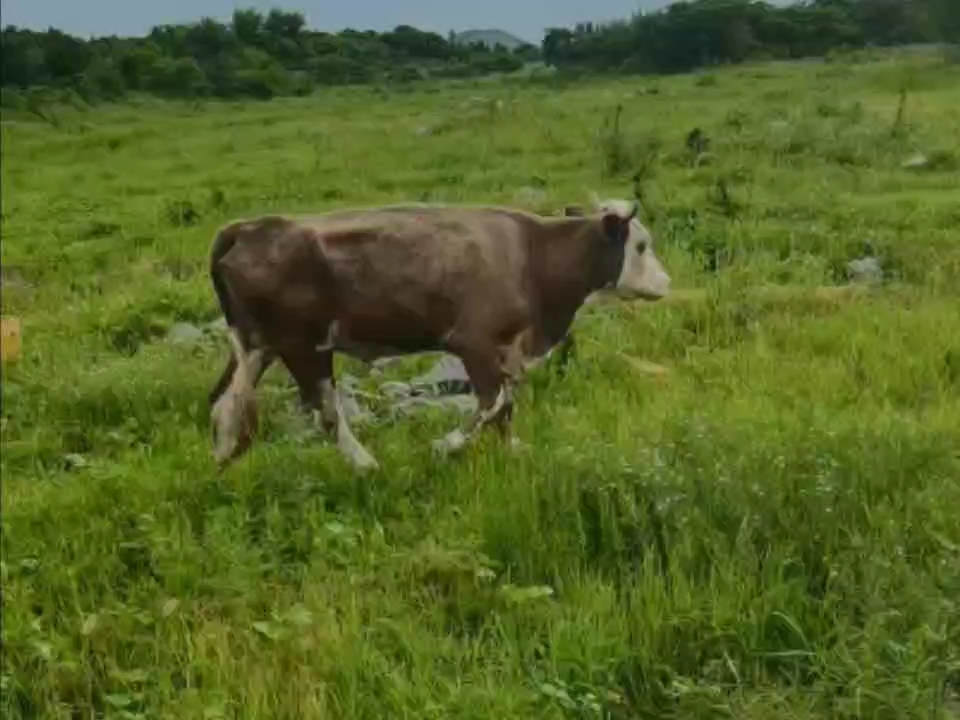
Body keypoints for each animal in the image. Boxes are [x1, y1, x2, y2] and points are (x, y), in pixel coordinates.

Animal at [206, 194, 672, 470]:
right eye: (641, 245)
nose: (666, 282)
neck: (532, 253)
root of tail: (247, 228)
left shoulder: (507, 348)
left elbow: (506, 405)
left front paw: (510, 450)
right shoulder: (474, 341)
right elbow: (491, 401)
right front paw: (444, 445)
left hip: (257, 346)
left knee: (226, 403)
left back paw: (223, 464)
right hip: (303, 346)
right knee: (325, 410)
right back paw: (365, 464)